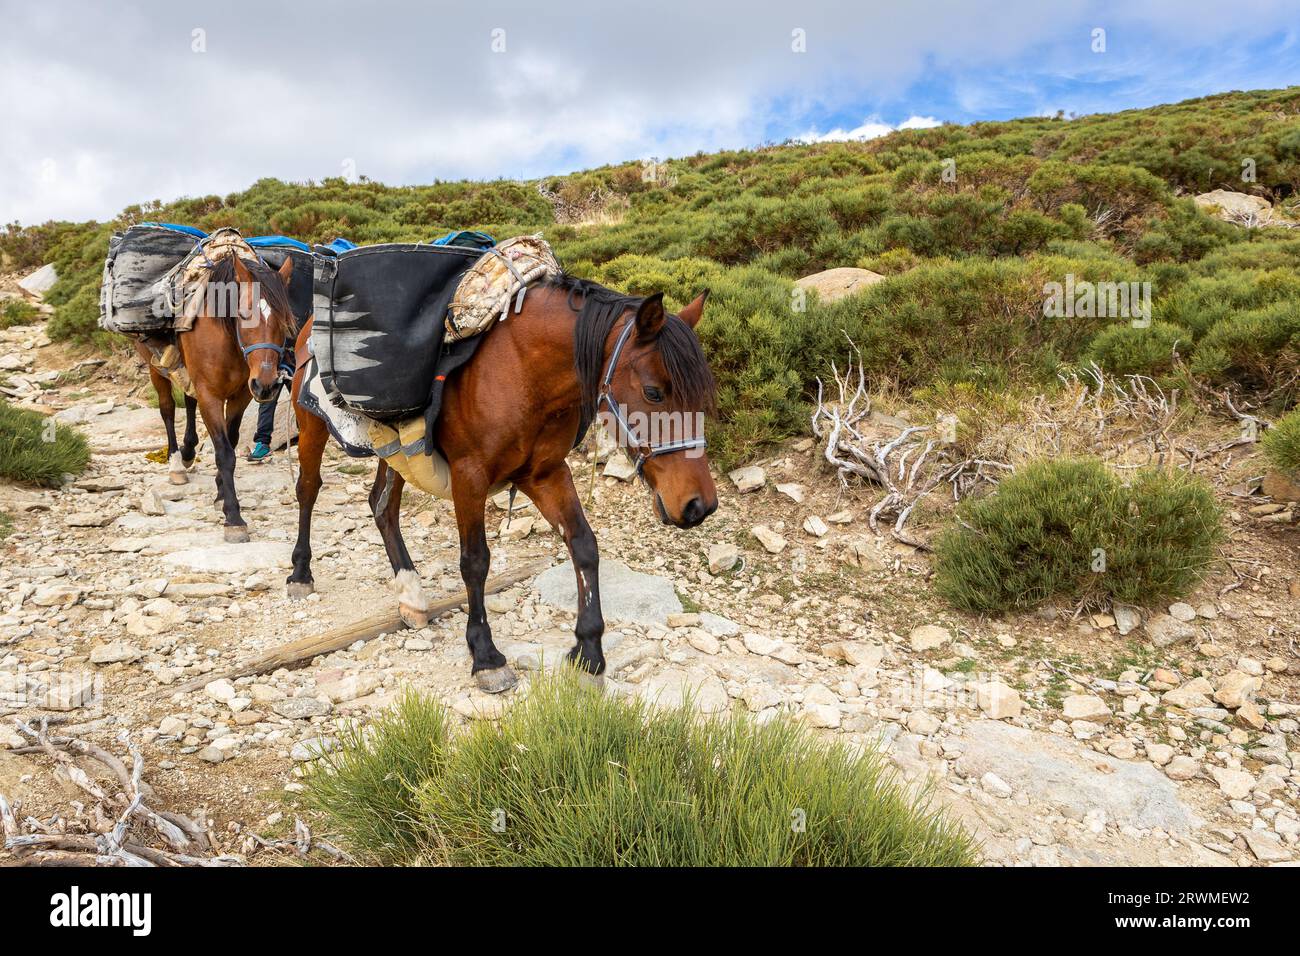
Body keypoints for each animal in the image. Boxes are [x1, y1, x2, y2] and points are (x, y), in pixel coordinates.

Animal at [136, 251, 297, 542]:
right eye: (244, 315)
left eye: (285, 320)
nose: (266, 385)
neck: (227, 338)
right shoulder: (210, 395)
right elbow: (224, 452)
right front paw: (233, 517)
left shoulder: (241, 395)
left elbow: (231, 442)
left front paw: (221, 493)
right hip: (156, 368)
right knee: (167, 409)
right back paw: (176, 465)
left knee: (188, 401)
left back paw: (189, 451)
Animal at [287, 276, 719, 693]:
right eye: (653, 391)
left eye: (704, 393)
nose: (700, 506)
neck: (522, 371)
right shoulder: (469, 477)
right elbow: (475, 561)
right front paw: (485, 655)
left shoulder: (546, 474)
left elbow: (584, 547)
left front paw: (589, 652)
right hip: (312, 425)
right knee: (309, 488)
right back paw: (301, 573)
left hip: (394, 450)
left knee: (382, 505)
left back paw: (411, 593)